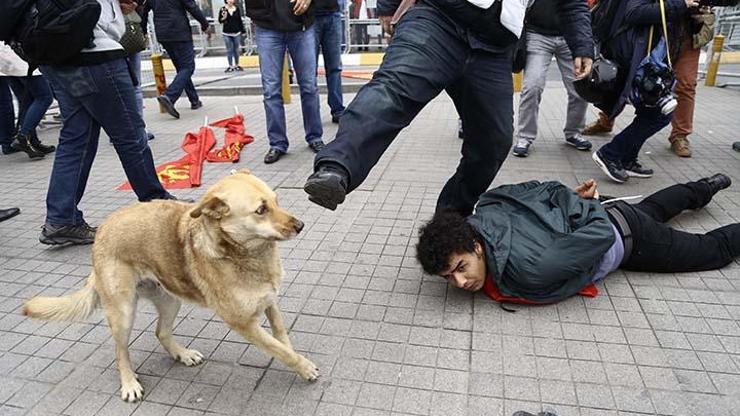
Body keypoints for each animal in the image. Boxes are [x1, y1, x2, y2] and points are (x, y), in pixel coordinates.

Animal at [22, 171, 318, 402]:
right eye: (260, 210)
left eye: (277, 201)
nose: (302, 225)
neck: (243, 253)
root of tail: (102, 230)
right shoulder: (243, 323)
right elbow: (280, 349)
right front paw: (303, 367)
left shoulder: (269, 300)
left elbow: (282, 337)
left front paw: (296, 360)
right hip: (123, 312)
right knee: (120, 351)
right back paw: (129, 383)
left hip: (170, 298)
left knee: (161, 332)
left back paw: (182, 354)